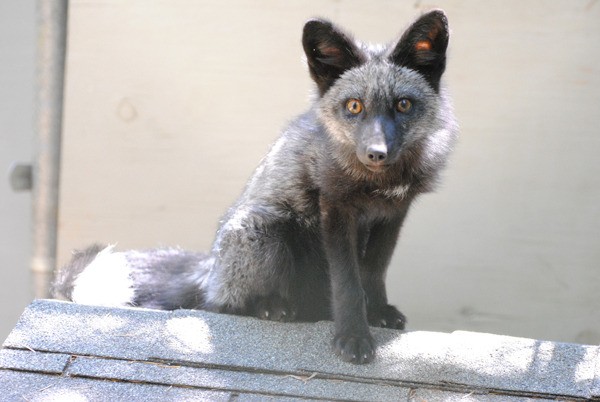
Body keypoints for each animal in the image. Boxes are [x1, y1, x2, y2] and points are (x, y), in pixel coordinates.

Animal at [56, 11, 460, 364]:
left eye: (403, 105)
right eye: (355, 106)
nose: (376, 153)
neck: (375, 183)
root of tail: (211, 268)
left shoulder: (393, 213)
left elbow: (373, 272)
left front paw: (377, 313)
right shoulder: (335, 208)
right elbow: (348, 283)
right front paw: (353, 336)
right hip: (264, 231)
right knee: (220, 306)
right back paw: (270, 307)